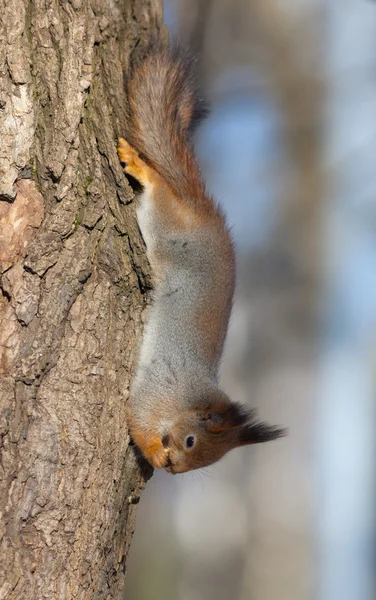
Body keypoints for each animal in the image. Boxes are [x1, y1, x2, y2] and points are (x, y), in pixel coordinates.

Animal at [117, 41, 284, 474]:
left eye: (205, 460)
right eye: (191, 440)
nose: (174, 469)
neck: (187, 398)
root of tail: (203, 213)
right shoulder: (156, 393)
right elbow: (138, 420)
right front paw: (154, 452)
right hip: (167, 230)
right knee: (159, 192)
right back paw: (141, 167)